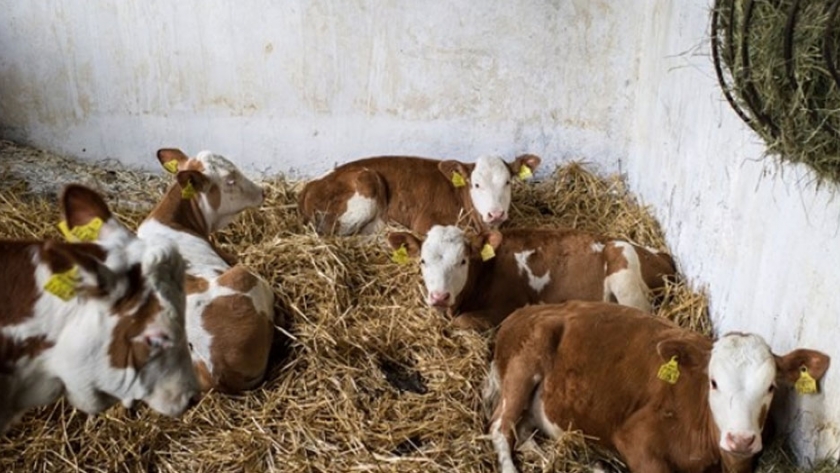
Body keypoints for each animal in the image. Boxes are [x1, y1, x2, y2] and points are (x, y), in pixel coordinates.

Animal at [298, 154, 542, 236]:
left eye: (508, 182)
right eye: (477, 184)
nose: (496, 214)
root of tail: (309, 185)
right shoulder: (426, 222)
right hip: (365, 186)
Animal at [387, 225, 676, 330]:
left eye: (462, 261)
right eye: (423, 261)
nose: (439, 297)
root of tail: (662, 255)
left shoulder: (508, 306)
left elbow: (464, 322)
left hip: (624, 269)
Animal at [484, 301, 831, 473]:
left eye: (771, 387)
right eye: (713, 382)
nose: (741, 439)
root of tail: (530, 308)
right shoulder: (635, 437)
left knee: (522, 431)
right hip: (525, 360)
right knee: (500, 426)